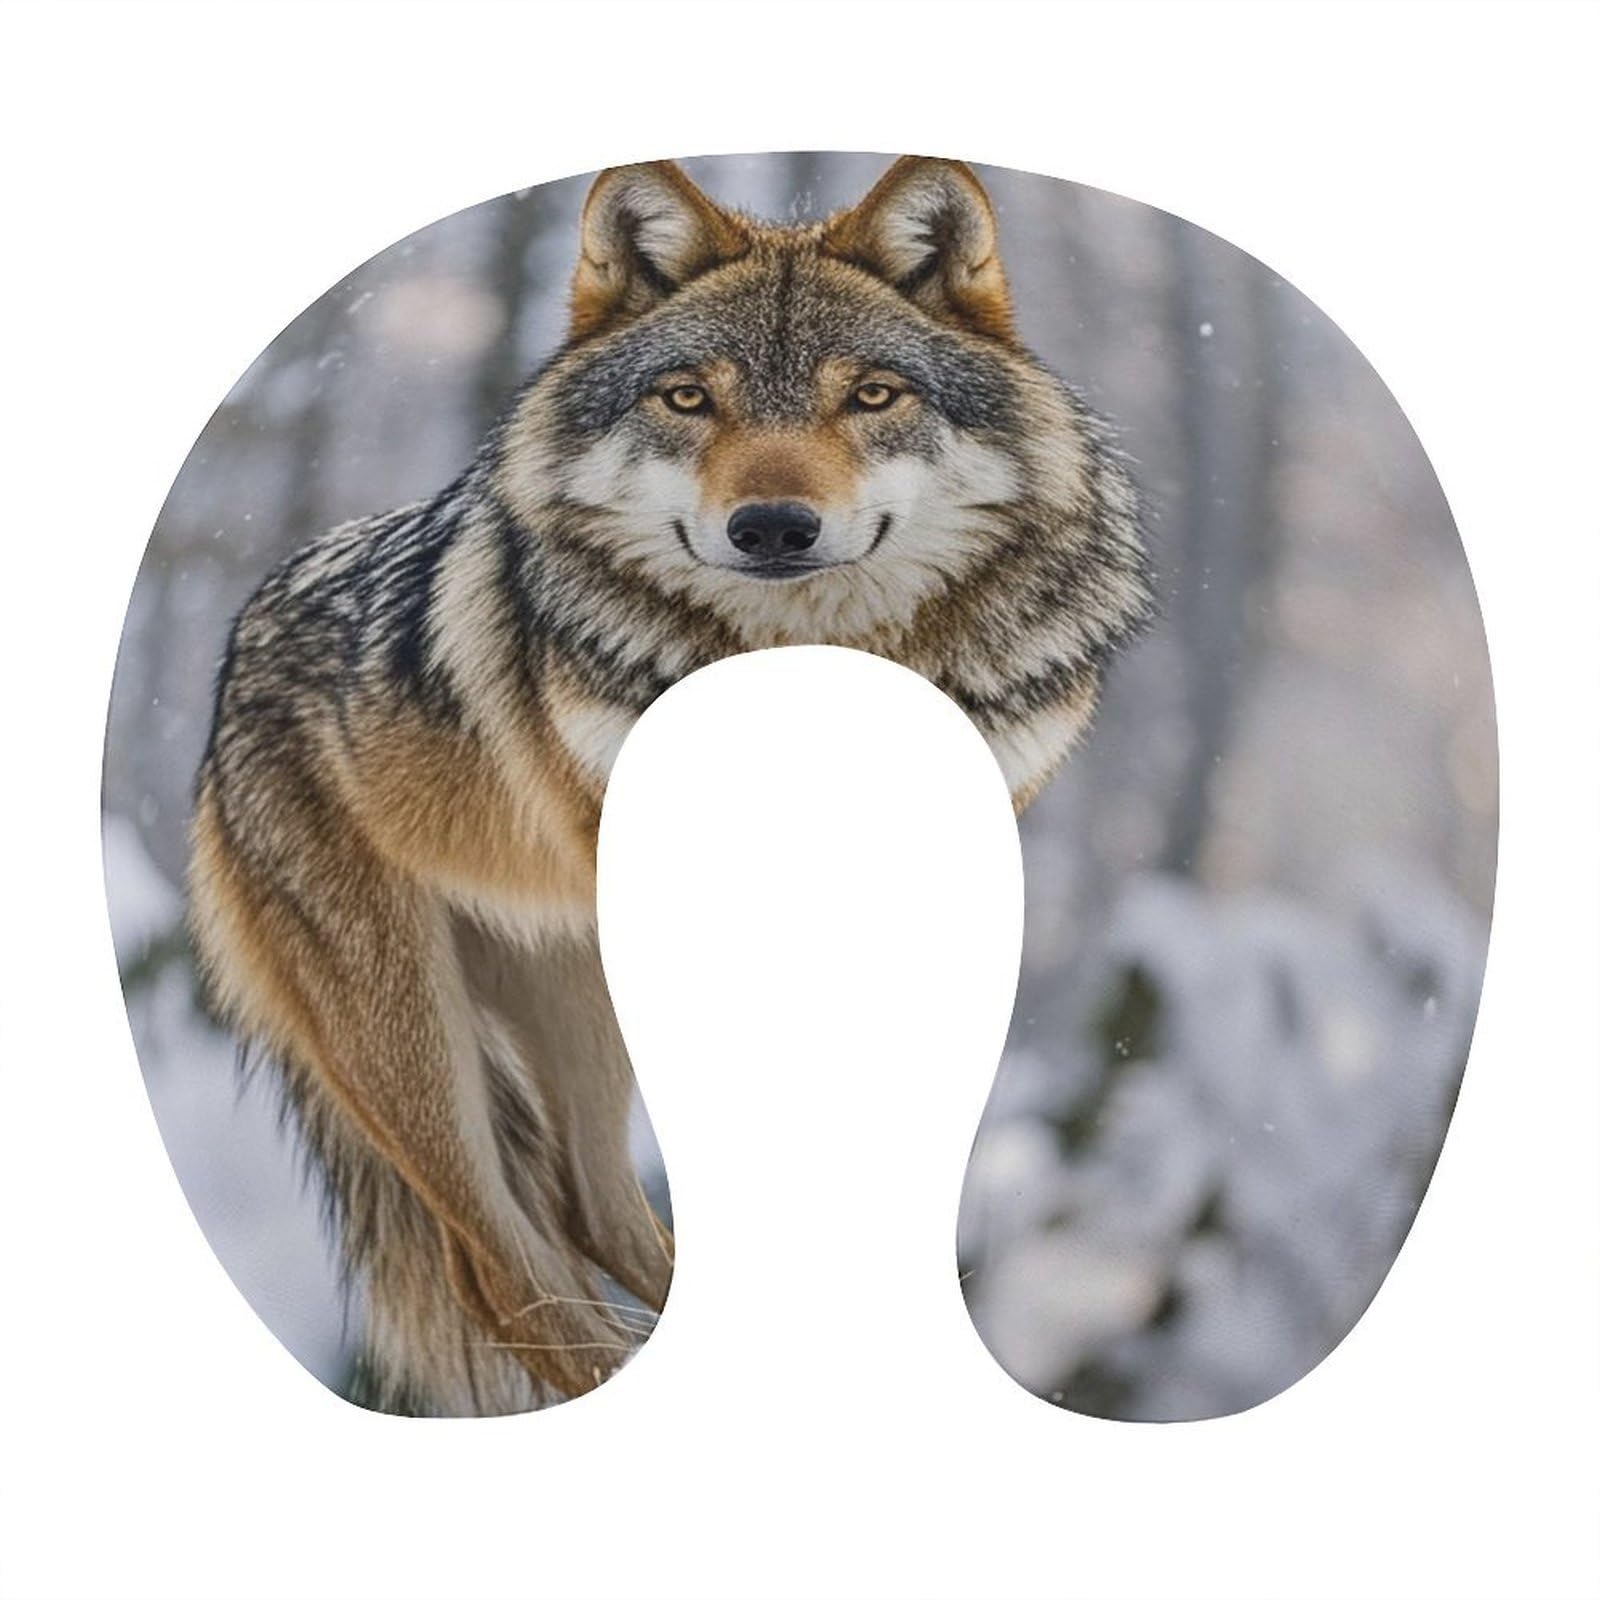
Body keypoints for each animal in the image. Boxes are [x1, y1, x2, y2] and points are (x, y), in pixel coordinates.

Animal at [188, 156, 1151, 1416]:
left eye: (872, 397)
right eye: (688, 399)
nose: (773, 526)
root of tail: (230, 665)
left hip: (571, 999)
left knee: (595, 1212)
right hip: (419, 1035)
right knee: (504, 1264)